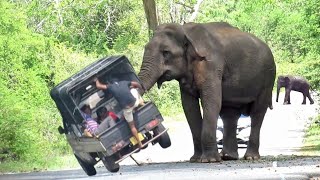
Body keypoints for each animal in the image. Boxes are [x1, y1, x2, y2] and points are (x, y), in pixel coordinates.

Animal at [138, 21, 276, 162]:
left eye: (166, 52)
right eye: (145, 47)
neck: (185, 31)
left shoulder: (212, 65)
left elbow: (211, 101)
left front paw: (209, 160)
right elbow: (189, 107)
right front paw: (195, 159)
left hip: (268, 79)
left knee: (257, 112)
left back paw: (250, 157)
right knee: (229, 114)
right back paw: (228, 156)